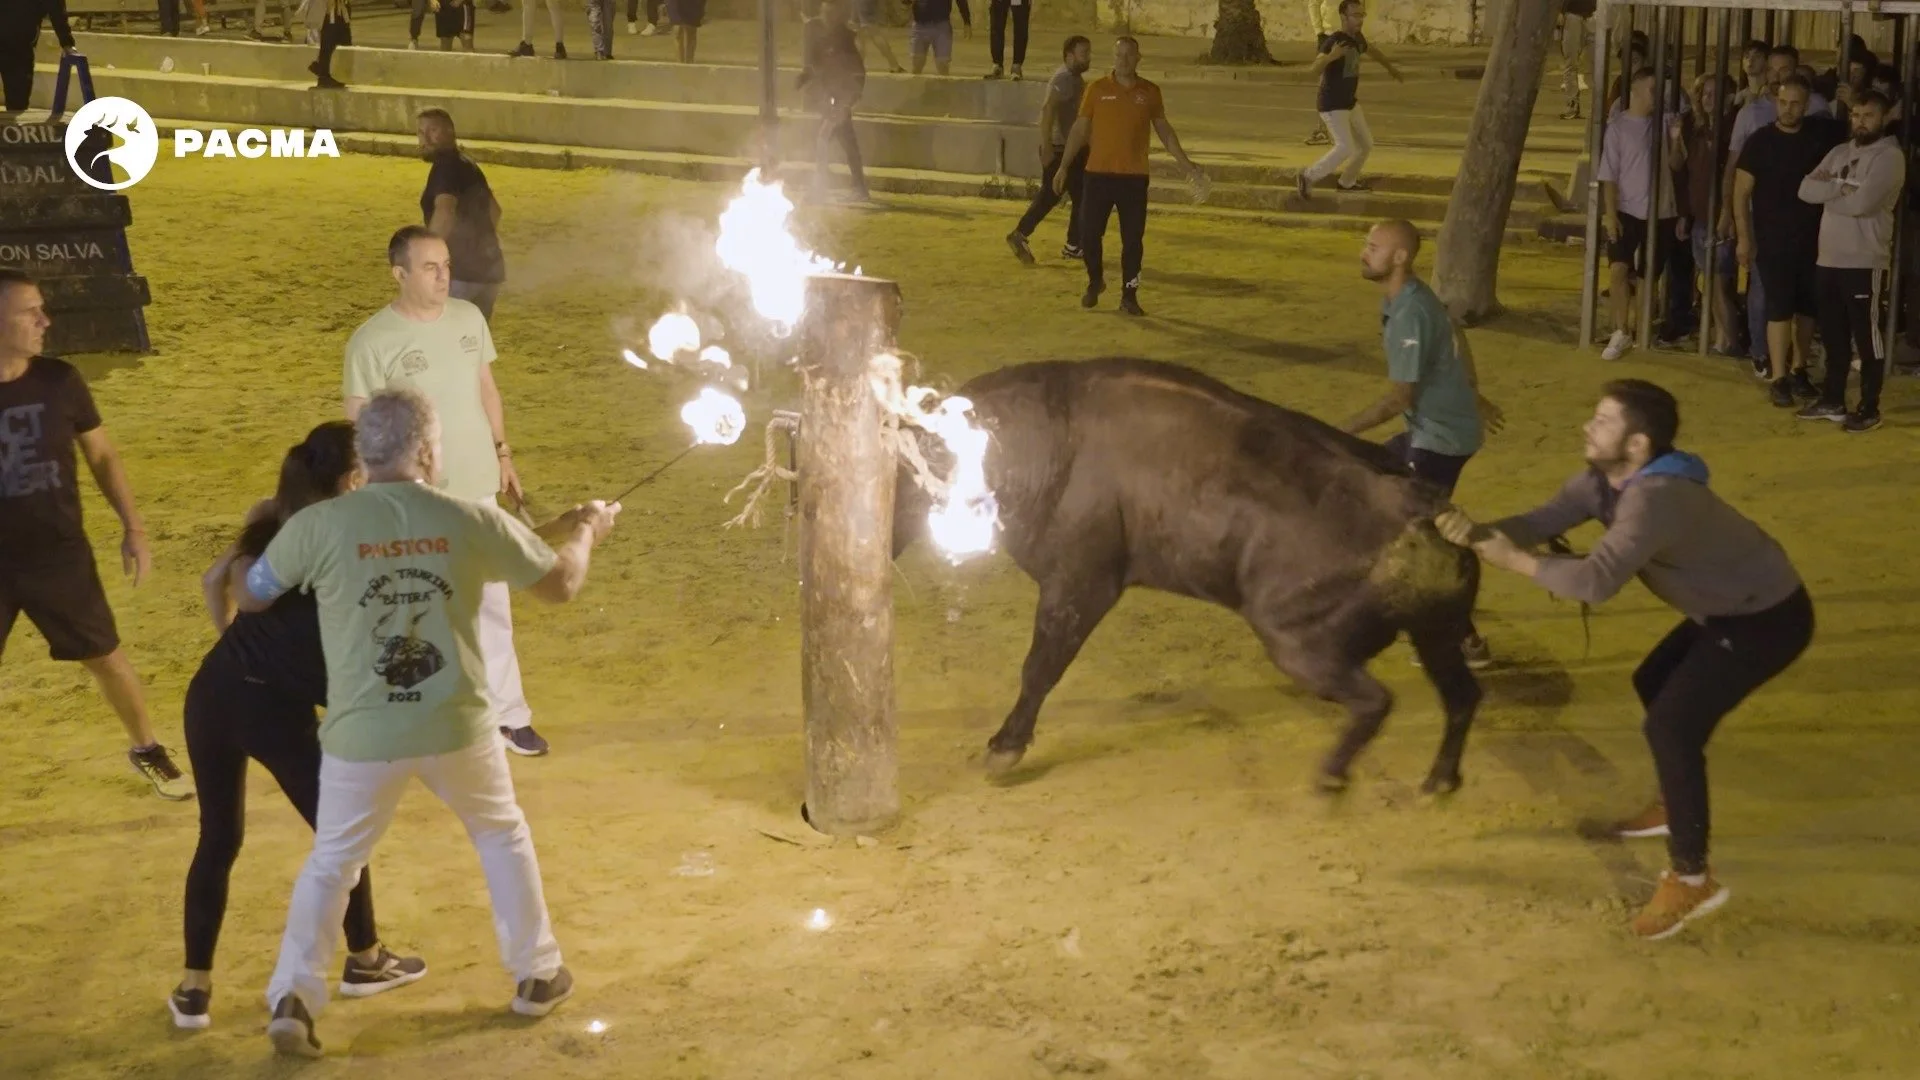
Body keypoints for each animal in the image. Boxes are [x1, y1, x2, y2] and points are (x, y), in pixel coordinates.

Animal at [887, 359, 1482, 791]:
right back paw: (1440, 778)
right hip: (1435, 633)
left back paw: (1334, 776)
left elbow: (1039, 670)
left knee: (1374, 701)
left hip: (1300, 643)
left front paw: (1005, 747)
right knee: (1462, 696)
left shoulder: (1079, 586)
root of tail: (1414, 502)